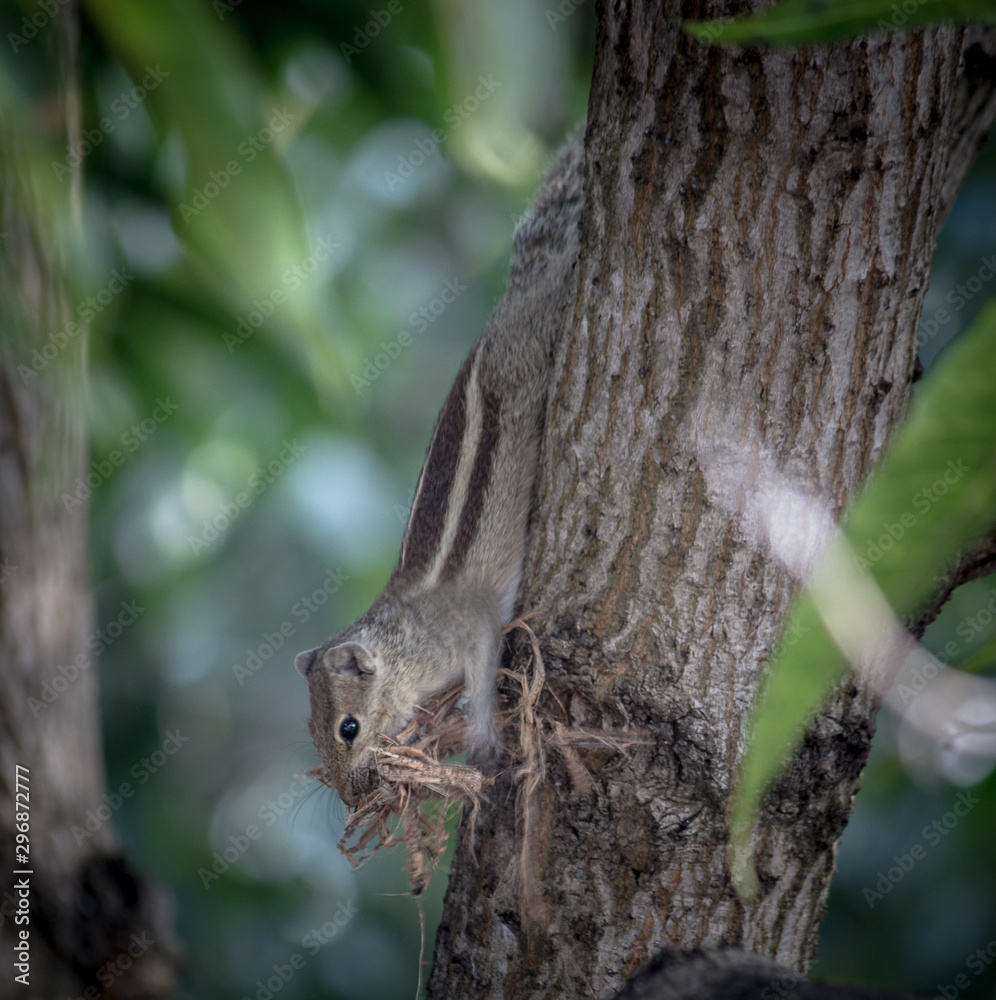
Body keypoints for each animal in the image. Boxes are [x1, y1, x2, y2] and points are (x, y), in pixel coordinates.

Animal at [294, 131, 584, 804]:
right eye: (314, 734)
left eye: (349, 727)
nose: (350, 796)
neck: (404, 646)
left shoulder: (471, 627)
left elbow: (481, 671)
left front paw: (482, 736)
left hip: (532, 341)